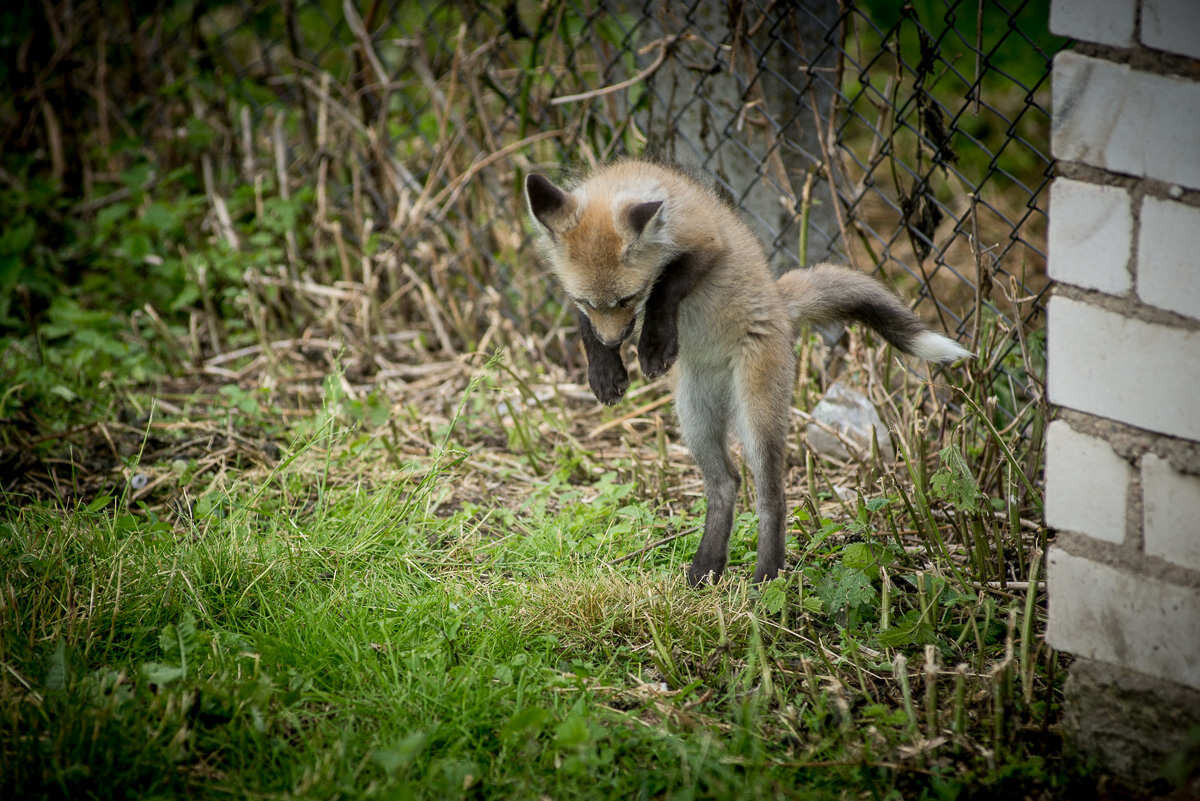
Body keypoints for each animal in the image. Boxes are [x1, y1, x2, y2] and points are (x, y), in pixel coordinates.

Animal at [523, 159, 964, 585]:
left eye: (627, 298)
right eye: (588, 300)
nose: (615, 341)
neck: (632, 181)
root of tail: (780, 303)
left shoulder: (708, 243)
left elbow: (667, 283)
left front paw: (653, 344)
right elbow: (586, 326)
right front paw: (604, 371)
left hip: (757, 415)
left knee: (773, 497)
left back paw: (766, 577)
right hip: (694, 418)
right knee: (726, 484)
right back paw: (705, 569)